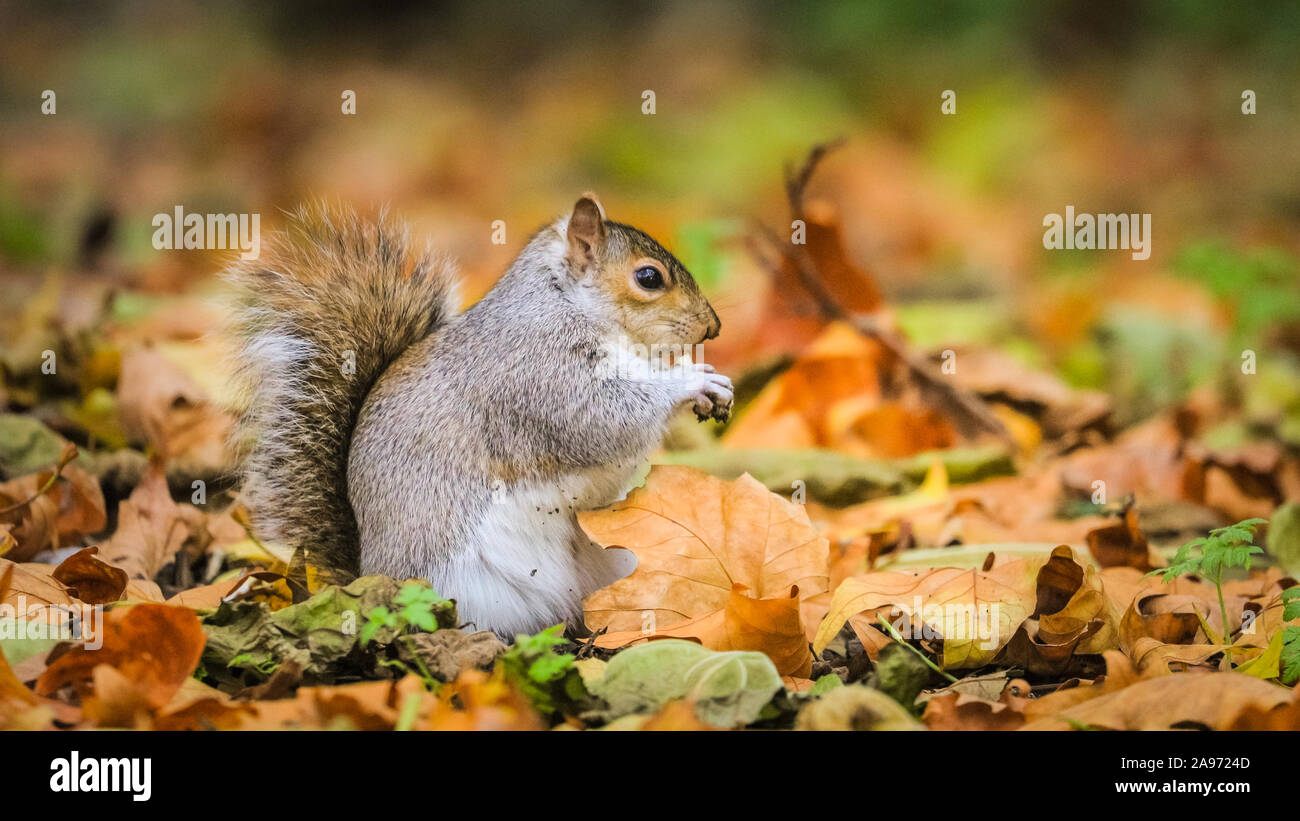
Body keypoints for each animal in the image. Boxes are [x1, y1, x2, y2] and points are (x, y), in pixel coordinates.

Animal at [224, 197, 733, 633]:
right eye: (649, 277)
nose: (713, 327)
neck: (567, 305)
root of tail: (369, 577)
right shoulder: (536, 374)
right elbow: (600, 419)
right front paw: (693, 381)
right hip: (468, 587)